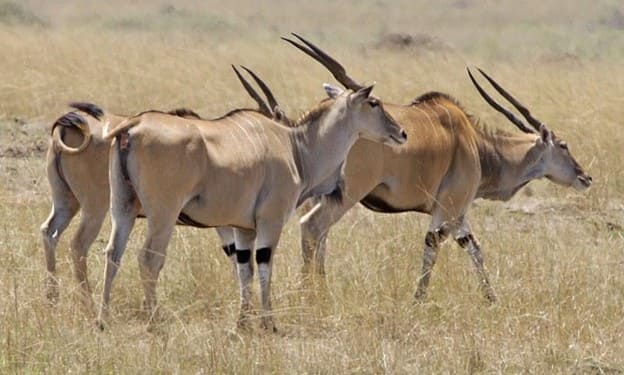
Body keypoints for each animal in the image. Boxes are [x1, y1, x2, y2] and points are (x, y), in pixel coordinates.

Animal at [39, 67, 282, 308]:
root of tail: (69, 123)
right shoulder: (223, 221)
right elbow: (236, 256)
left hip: (67, 202)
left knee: (49, 232)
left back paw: (53, 298)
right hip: (95, 207)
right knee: (79, 244)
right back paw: (88, 304)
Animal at [96, 66, 410, 330]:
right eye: (374, 103)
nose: (402, 133)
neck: (294, 146)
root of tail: (132, 126)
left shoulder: (242, 228)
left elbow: (244, 269)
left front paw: (243, 322)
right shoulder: (270, 221)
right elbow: (264, 264)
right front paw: (268, 323)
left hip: (123, 209)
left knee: (113, 254)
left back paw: (103, 320)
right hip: (164, 215)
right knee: (149, 258)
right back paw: (155, 322)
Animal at [286, 33, 592, 304]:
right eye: (563, 145)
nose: (585, 177)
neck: (476, 144)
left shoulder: (458, 215)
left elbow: (474, 248)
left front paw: (492, 298)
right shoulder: (447, 209)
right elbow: (433, 246)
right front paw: (418, 300)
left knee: (320, 235)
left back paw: (319, 292)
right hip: (348, 194)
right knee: (313, 226)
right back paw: (311, 296)